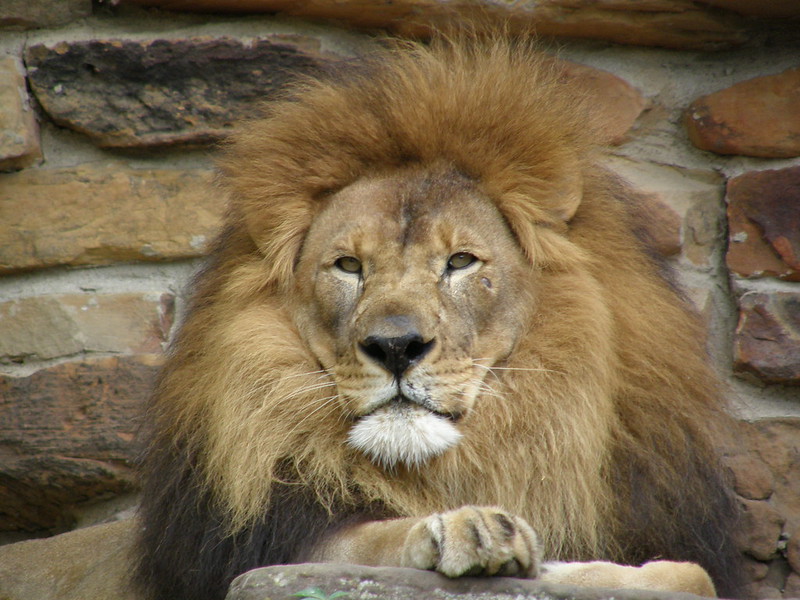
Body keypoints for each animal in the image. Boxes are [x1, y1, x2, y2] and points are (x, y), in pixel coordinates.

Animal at [134, 36, 740, 600]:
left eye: (461, 261)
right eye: (348, 265)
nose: (395, 346)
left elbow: (689, 573)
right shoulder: (260, 544)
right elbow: (364, 540)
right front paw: (469, 528)